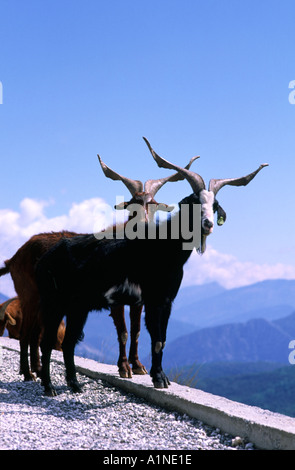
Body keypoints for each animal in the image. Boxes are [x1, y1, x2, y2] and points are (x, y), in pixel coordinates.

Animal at [35, 138, 268, 394]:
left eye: (214, 205)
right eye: (194, 202)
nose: (208, 224)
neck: (163, 246)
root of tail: (45, 258)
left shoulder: (166, 301)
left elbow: (161, 339)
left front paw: (161, 377)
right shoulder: (153, 299)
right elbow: (155, 339)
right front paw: (158, 378)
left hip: (78, 306)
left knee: (68, 341)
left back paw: (75, 385)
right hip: (54, 301)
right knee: (47, 341)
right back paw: (49, 387)